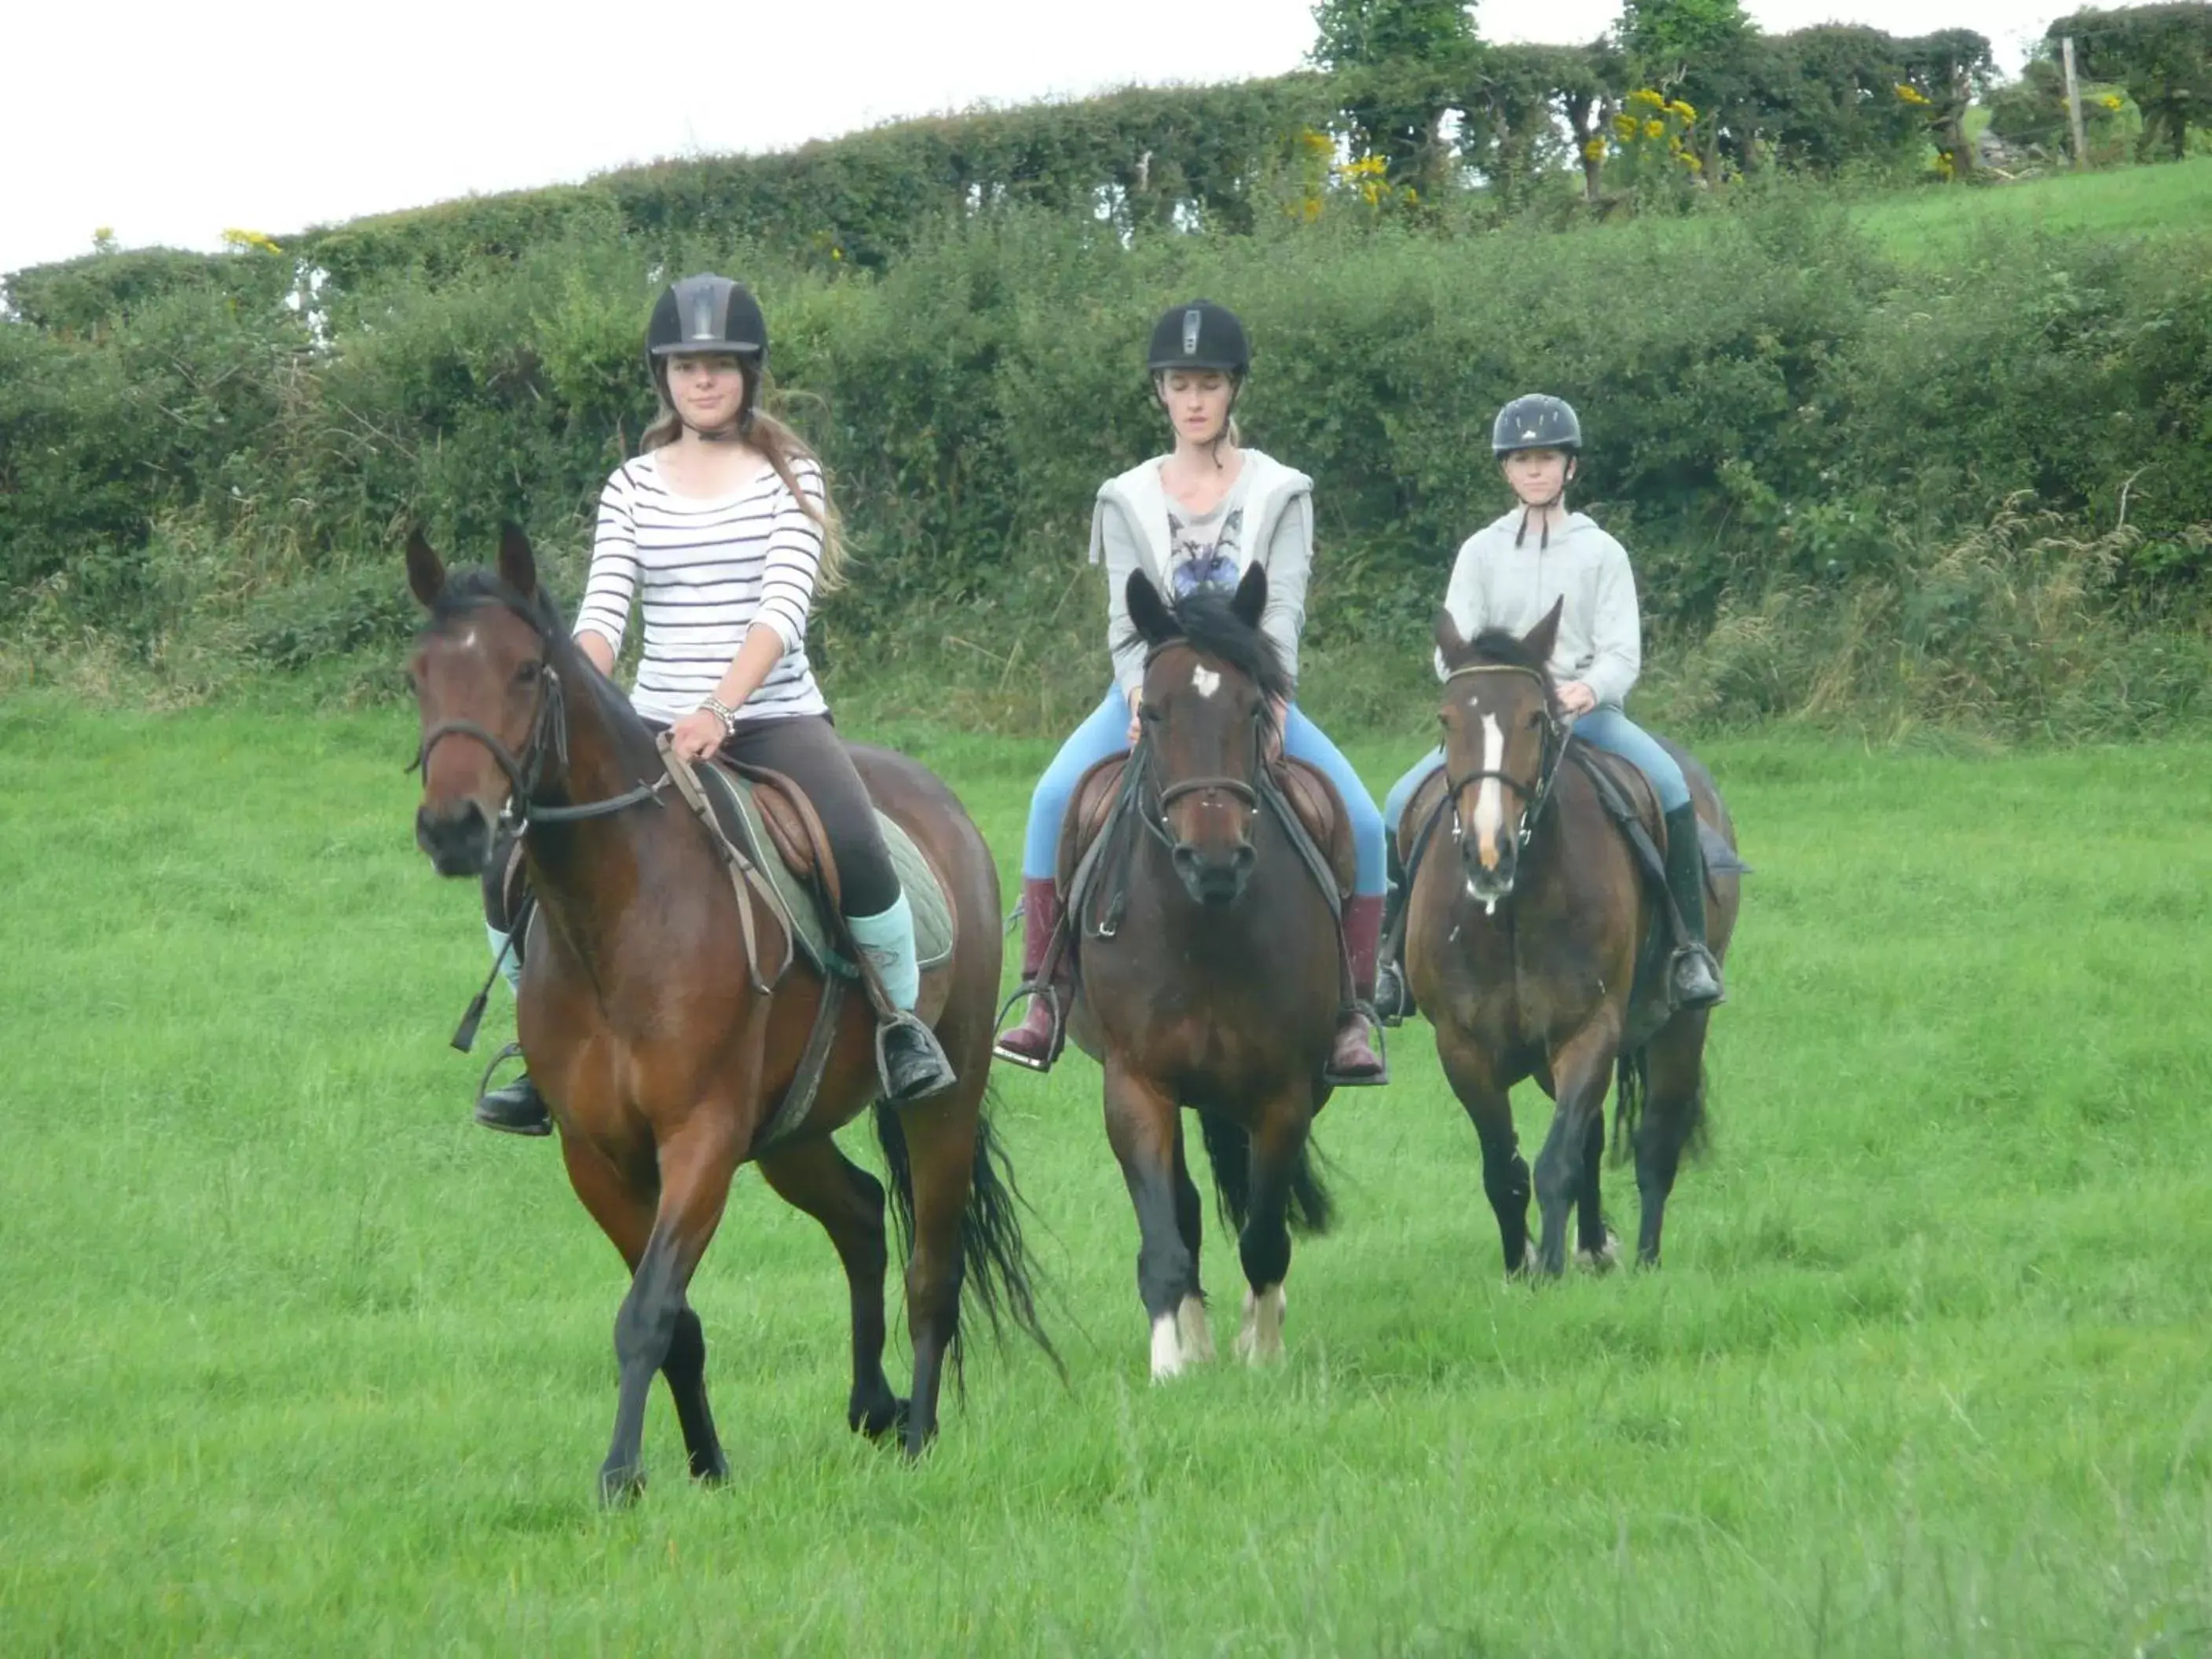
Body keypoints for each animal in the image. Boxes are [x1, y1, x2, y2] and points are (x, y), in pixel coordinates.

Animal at [405, 526, 1053, 1503]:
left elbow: (647, 1311)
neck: (621, 916)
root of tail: (940, 807)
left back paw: (915, 1436)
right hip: (790, 1133)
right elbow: (675, 1320)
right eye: (417, 676)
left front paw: (620, 1478)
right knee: (862, 1214)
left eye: (524, 671)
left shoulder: (700, 1138)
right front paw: (705, 1467)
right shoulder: (596, 1157)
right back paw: (874, 1406)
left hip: (944, 1094)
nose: (455, 829)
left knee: (931, 1268)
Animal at [1061, 566, 1335, 1380]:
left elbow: (1265, 1233)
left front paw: (1264, 1354)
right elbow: (1167, 1230)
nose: (1213, 861)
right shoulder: (1136, 1085)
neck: (1204, 928)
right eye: (1151, 712)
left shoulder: (1284, 1092)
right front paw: (1171, 1365)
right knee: (1187, 1206)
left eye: (1254, 709)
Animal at [1397, 606, 1743, 1283]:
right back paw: (1595, 1246)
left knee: (1655, 1143)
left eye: (1535, 717)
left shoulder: (1588, 1031)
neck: (1509, 911)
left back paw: (1644, 1259)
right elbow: (1503, 1171)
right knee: (1590, 1136)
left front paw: (1551, 1269)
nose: (1489, 855)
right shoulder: (1462, 1049)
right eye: (1447, 719)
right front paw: (1521, 1266)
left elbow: (1555, 1160)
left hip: (1680, 1027)